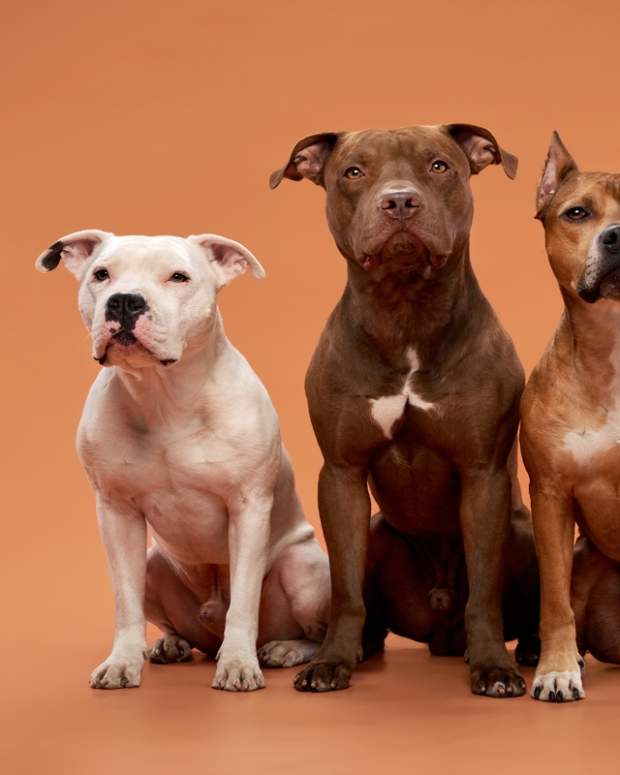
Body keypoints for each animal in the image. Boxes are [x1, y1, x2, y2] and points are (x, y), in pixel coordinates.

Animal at [36, 229, 332, 692]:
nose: (125, 301)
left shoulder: (248, 508)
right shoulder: (116, 513)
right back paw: (171, 644)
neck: (164, 396)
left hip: (302, 572)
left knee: (311, 631)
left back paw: (284, 649)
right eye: (101, 274)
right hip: (155, 564)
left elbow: (243, 600)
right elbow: (125, 602)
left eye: (178, 277)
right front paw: (122, 662)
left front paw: (239, 665)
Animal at [270, 123, 536, 696]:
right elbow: (345, 591)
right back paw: (354, 649)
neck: (405, 312)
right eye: (353, 171)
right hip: (375, 532)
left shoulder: (483, 475)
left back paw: (526, 650)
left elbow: (485, 591)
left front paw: (493, 667)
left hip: (523, 531)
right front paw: (331, 662)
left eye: (438, 165)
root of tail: (441, 631)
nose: (399, 201)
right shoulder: (341, 475)